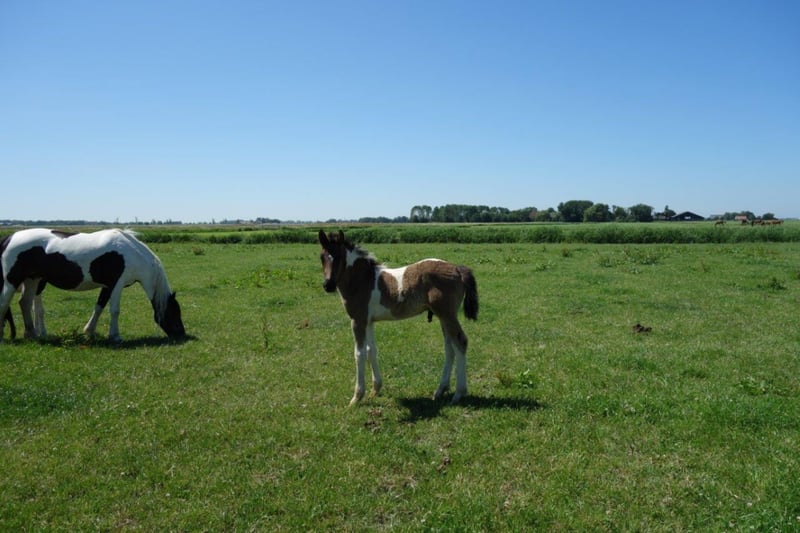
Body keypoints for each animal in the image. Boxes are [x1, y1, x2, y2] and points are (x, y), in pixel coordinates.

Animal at [0, 228, 185, 342]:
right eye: (174, 313)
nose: (181, 334)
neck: (132, 254)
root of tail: (9, 238)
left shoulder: (107, 286)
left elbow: (99, 307)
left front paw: (89, 331)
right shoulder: (117, 284)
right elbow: (114, 310)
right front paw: (115, 336)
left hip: (33, 280)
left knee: (25, 303)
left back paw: (32, 334)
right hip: (12, 281)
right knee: (5, 303)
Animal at [318, 230, 478, 406]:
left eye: (339, 256)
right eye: (322, 257)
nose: (328, 285)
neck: (363, 280)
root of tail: (457, 269)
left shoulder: (357, 321)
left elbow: (359, 354)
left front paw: (357, 397)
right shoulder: (368, 321)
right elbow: (371, 350)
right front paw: (376, 388)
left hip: (447, 314)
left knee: (460, 342)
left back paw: (458, 393)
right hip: (443, 316)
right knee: (450, 347)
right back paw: (440, 390)